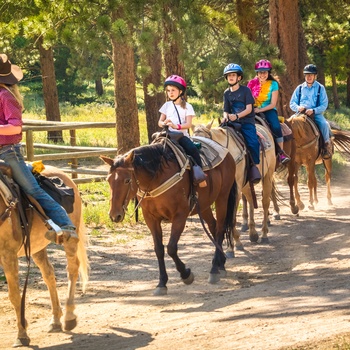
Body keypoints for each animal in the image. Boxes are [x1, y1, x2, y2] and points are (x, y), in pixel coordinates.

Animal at [101, 139, 238, 296]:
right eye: (108, 180)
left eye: (127, 180)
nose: (114, 215)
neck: (156, 178)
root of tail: (226, 153)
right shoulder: (151, 218)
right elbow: (159, 249)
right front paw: (161, 283)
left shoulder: (180, 216)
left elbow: (171, 248)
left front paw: (186, 275)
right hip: (204, 205)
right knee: (213, 227)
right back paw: (221, 264)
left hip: (222, 197)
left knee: (220, 228)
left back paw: (215, 269)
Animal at [191, 120, 276, 252]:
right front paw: (231, 246)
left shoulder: (234, 191)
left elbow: (230, 217)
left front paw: (234, 244)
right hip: (246, 184)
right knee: (250, 199)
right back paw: (253, 233)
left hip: (268, 174)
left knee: (265, 202)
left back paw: (264, 234)